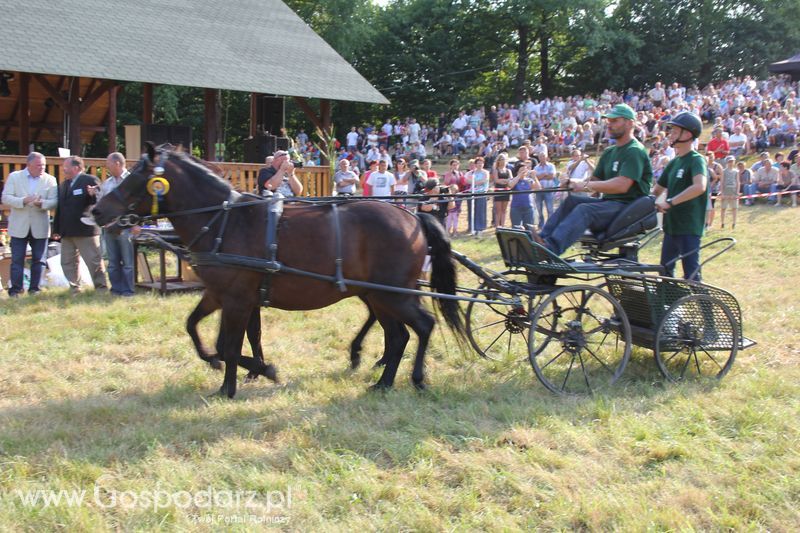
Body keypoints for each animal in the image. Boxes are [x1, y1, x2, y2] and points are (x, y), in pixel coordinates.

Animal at [94, 143, 466, 396]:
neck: (225, 221)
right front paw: (236, 368)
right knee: (398, 334)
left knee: (422, 326)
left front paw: (240, 381)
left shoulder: (237, 299)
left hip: (393, 295)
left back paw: (414, 378)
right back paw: (383, 380)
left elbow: (230, 345)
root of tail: (412, 217)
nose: (97, 210)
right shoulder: (222, 295)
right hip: (380, 296)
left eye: (137, 177)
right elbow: (200, 330)